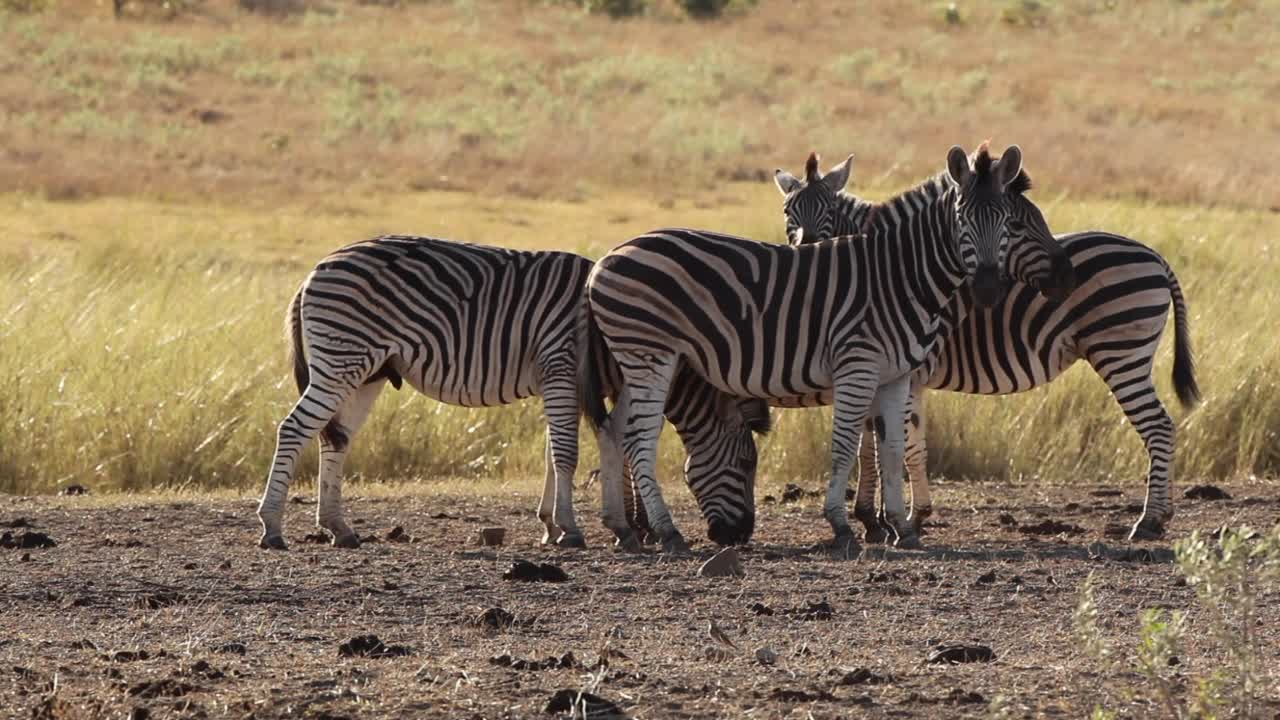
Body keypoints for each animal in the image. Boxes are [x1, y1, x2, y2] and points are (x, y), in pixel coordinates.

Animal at [254, 235, 762, 548]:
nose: (740, 536)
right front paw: (571, 530)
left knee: (334, 437)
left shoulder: (561, 381)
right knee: (293, 429)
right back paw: (272, 526)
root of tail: (312, 272)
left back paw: (338, 528)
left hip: (367, 372)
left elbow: (556, 452)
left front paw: (551, 526)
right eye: (745, 463)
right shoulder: (560, 365)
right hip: (341, 359)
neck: (611, 328)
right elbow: (567, 454)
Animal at [581, 141, 1070, 556]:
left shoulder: (895, 375)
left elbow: (892, 449)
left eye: (1007, 221)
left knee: (614, 430)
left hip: (635, 361)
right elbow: (846, 446)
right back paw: (667, 532)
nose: (987, 288)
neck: (902, 275)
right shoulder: (858, 367)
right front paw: (844, 525)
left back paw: (625, 529)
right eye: (964, 218)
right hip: (651, 354)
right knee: (640, 437)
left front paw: (900, 526)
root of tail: (606, 258)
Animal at [773, 149, 1203, 538]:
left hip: (1121, 354)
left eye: (829, 209)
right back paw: (1160, 516)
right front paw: (886, 518)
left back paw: (1149, 521)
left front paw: (891, 519)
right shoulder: (887, 370)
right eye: (788, 211)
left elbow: (896, 446)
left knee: (1159, 427)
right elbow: (885, 443)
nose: (805, 250)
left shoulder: (899, 370)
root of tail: (1156, 257)